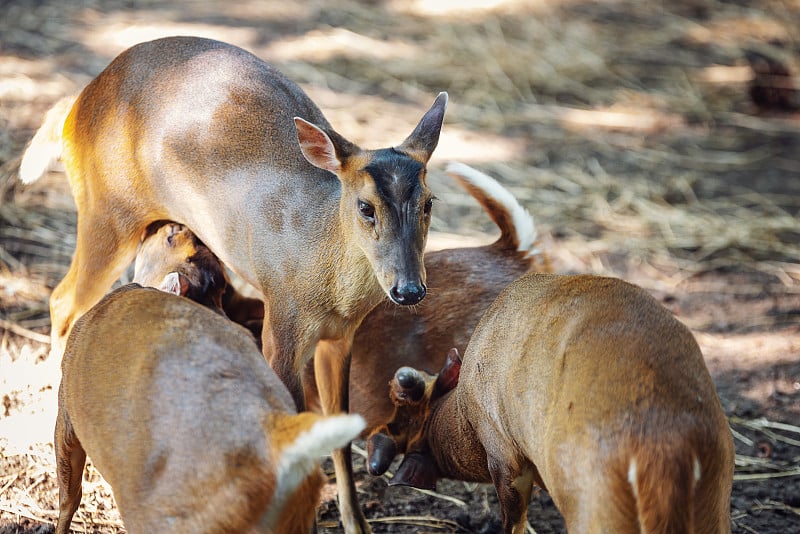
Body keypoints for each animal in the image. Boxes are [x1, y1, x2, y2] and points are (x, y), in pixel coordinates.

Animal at [366, 274, 736, 532]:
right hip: (713, 503)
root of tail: (664, 452)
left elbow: (513, 520)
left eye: (404, 412)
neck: (463, 412)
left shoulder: (503, 451)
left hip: (595, 511)